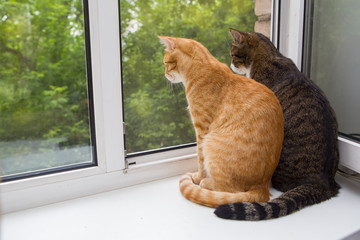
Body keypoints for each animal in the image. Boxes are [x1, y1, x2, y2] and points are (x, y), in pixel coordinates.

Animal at [158, 36, 284, 208]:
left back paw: (206, 182)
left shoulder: (201, 129)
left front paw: (198, 177)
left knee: (231, 189)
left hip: (211, 144)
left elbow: (200, 159)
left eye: (165, 63)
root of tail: (262, 186)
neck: (200, 68)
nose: (165, 74)